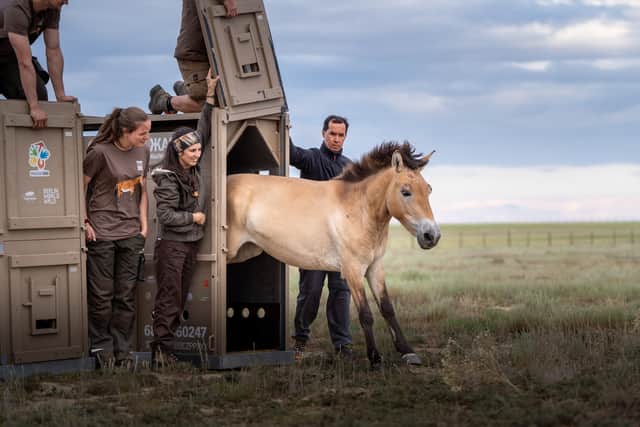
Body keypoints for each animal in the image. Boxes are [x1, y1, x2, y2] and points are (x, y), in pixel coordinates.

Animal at [226, 141, 440, 368]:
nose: (431, 236)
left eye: (428, 189)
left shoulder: (375, 267)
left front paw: (408, 352)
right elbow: (366, 314)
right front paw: (374, 359)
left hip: (245, 252)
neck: (358, 208)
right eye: (405, 192)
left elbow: (387, 309)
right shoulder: (353, 270)